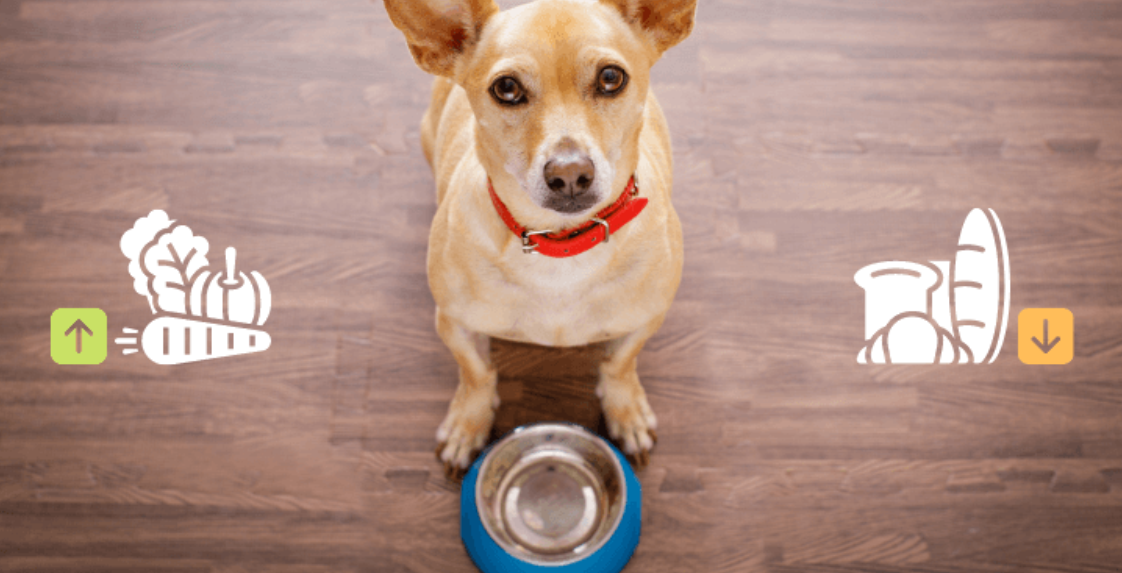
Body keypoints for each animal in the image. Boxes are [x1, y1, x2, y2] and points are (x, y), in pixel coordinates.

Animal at [383, 0, 691, 477]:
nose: (569, 174)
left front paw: (626, 410)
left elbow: (619, 364)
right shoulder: (453, 324)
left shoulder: (646, 319)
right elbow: (476, 373)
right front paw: (468, 423)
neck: (559, 246)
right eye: (506, 88)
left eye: (611, 78)